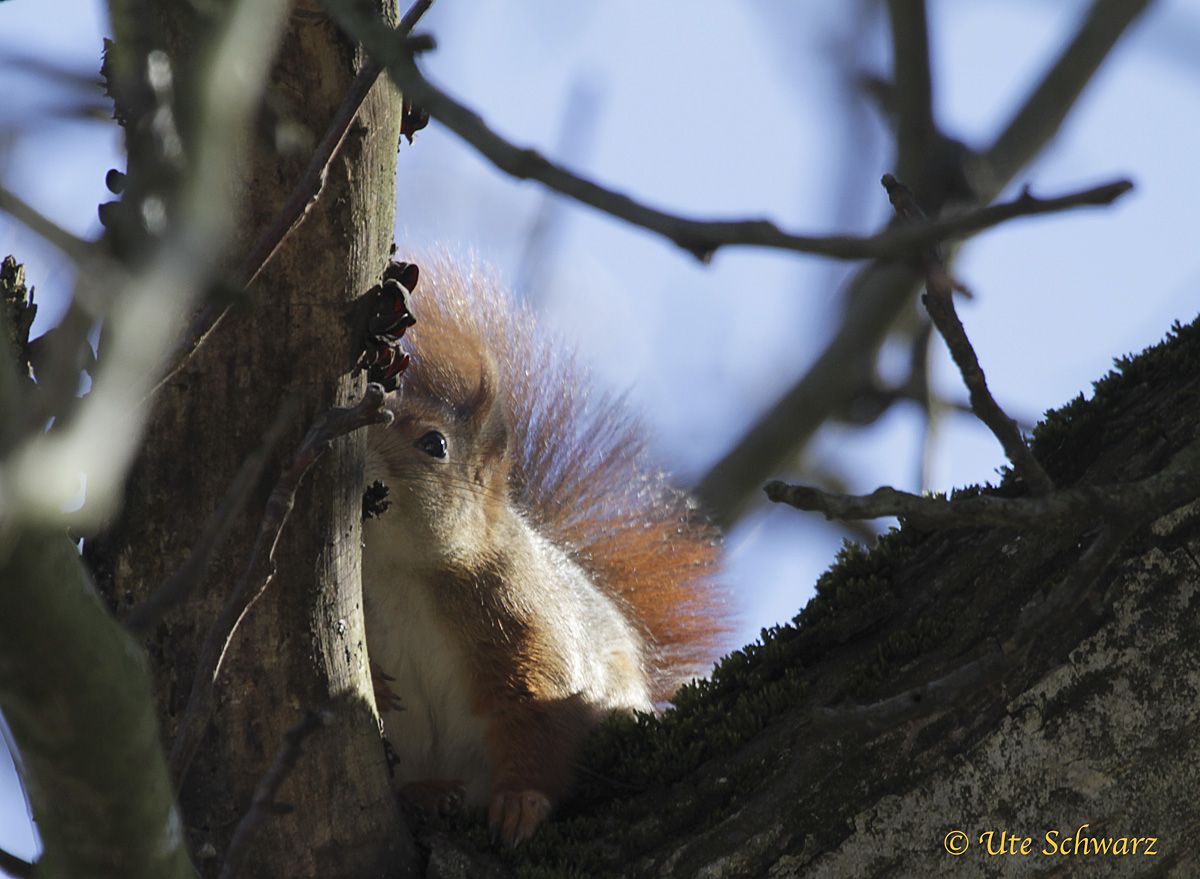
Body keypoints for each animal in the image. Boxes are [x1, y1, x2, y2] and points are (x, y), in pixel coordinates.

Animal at [360, 254, 720, 845]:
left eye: (434, 443)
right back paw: (427, 794)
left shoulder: (521, 623)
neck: (401, 571)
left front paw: (522, 802)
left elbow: (536, 713)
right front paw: (377, 685)